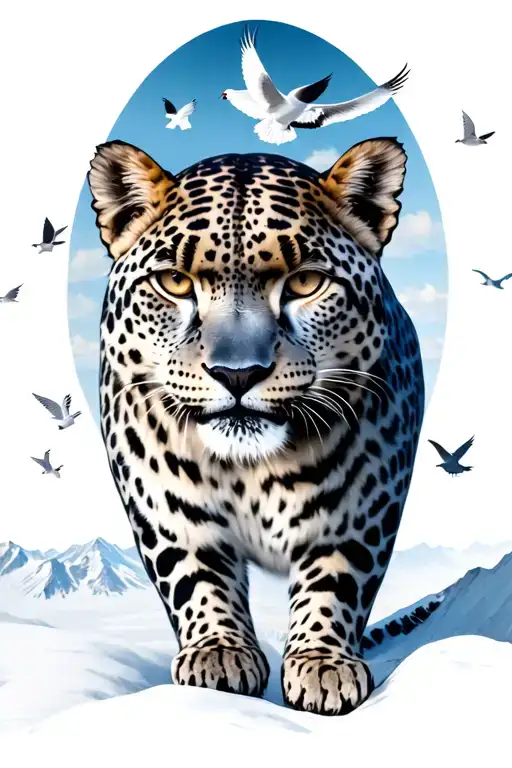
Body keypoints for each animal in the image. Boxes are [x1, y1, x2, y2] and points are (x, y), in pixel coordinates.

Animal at [87, 136, 427, 716]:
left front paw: (323, 665)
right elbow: (196, 573)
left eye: (306, 282)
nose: (238, 373)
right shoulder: (168, 508)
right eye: (175, 282)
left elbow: (336, 575)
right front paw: (218, 654)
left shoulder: (360, 507)